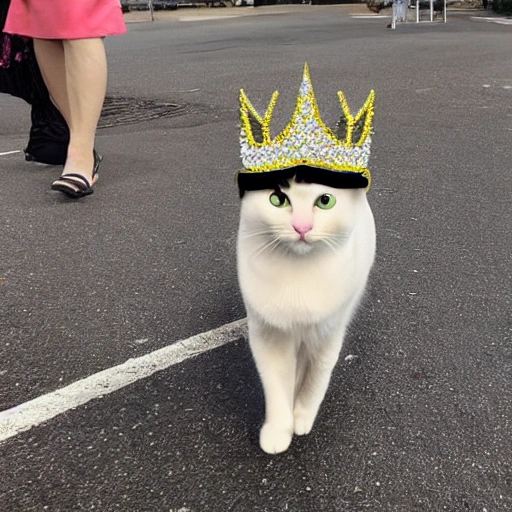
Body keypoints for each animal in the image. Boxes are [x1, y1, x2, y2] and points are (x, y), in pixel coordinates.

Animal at [237, 178, 376, 454]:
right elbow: (276, 386)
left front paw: (302, 416)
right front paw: (278, 431)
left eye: (325, 201)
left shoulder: (328, 334)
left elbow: (316, 380)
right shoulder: (268, 335)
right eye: (278, 199)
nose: (302, 227)